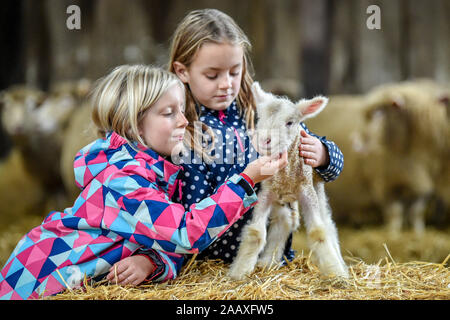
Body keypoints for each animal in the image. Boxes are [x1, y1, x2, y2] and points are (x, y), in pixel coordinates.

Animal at [229, 82, 348, 280]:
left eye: (290, 122)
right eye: (259, 118)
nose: (264, 140)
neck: (287, 176)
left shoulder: (307, 191)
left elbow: (319, 232)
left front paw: (336, 272)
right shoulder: (266, 193)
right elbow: (255, 232)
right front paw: (239, 272)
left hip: (316, 188)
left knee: (327, 224)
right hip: (280, 198)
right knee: (285, 220)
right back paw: (268, 261)